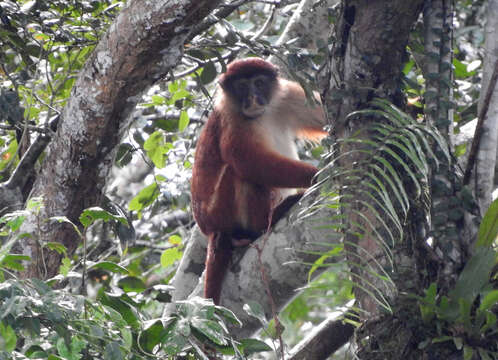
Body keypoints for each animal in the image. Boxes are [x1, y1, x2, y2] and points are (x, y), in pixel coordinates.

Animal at [191, 58, 326, 304]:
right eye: (242, 86)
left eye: (259, 83)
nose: (253, 98)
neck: (262, 114)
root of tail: (211, 228)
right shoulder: (232, 120)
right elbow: (247, 161)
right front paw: (315, 175)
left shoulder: (288, 95)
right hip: (222, 211)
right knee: (240, 173)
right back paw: (263, 224)